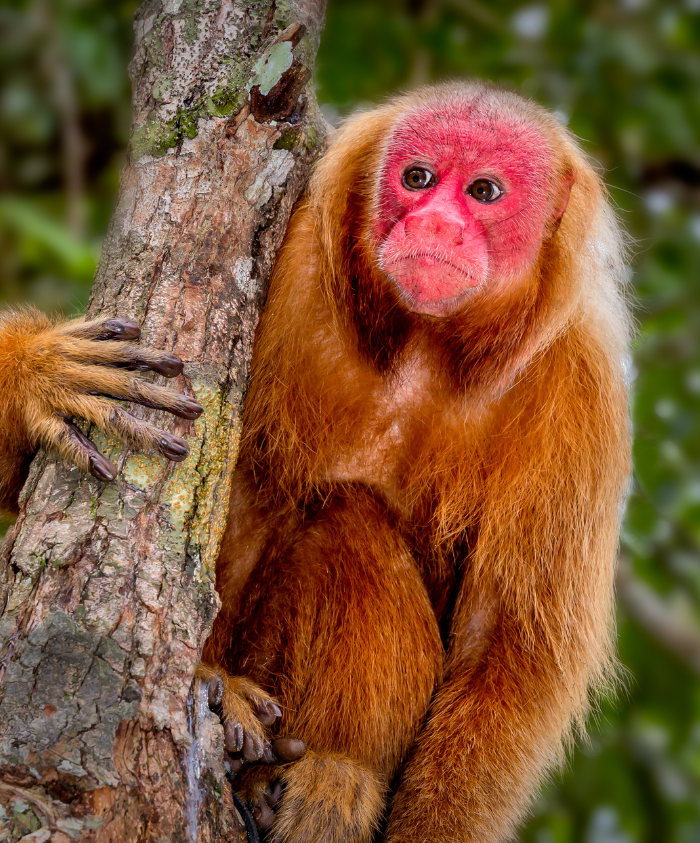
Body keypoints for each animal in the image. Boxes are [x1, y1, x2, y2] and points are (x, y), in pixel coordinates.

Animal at [0, 83, 632, 843]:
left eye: (483, 192)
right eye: (417, 177)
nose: (436, 223)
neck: (425, 342)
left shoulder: (580, 389)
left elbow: (505, 648)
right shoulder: (292, 257)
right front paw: (35, 376)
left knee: (346, 517)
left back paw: (333, 769)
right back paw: (221, 694)